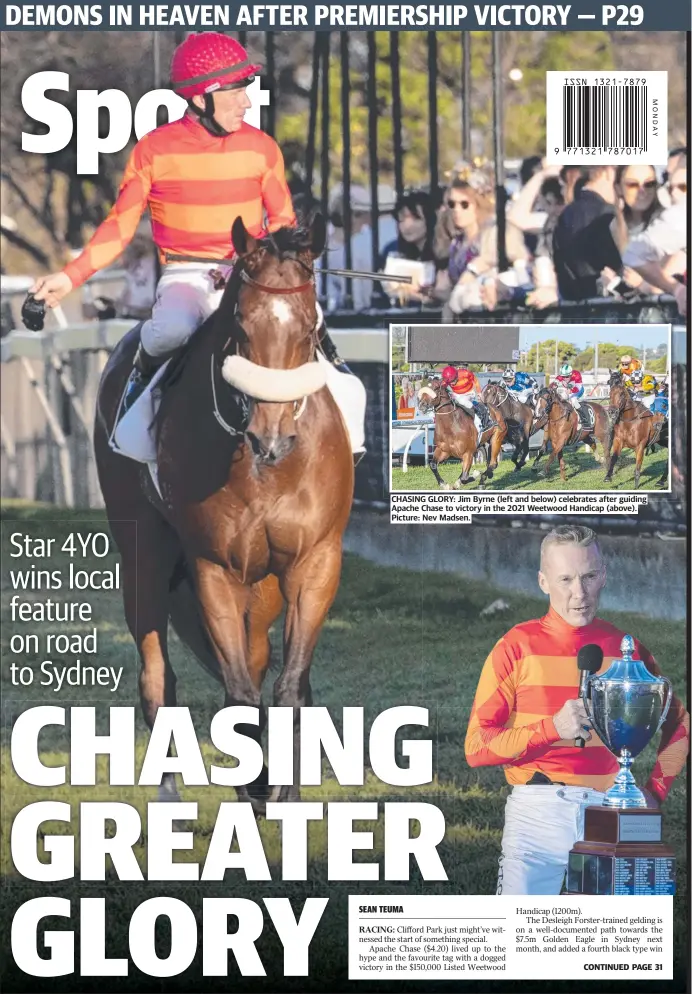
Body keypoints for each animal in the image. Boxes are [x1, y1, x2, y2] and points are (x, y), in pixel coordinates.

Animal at [92, 213, 352, 808]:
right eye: (242, 327)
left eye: (309, 330)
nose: (271, 439)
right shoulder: (213, 567)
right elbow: (238, 694)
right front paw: (256, 784)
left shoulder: (314, 562)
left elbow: (289, 686)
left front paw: (283, 791)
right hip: (144, 561)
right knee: (158, 678)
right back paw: (171, 796)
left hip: (263, 591)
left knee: (258, 663)